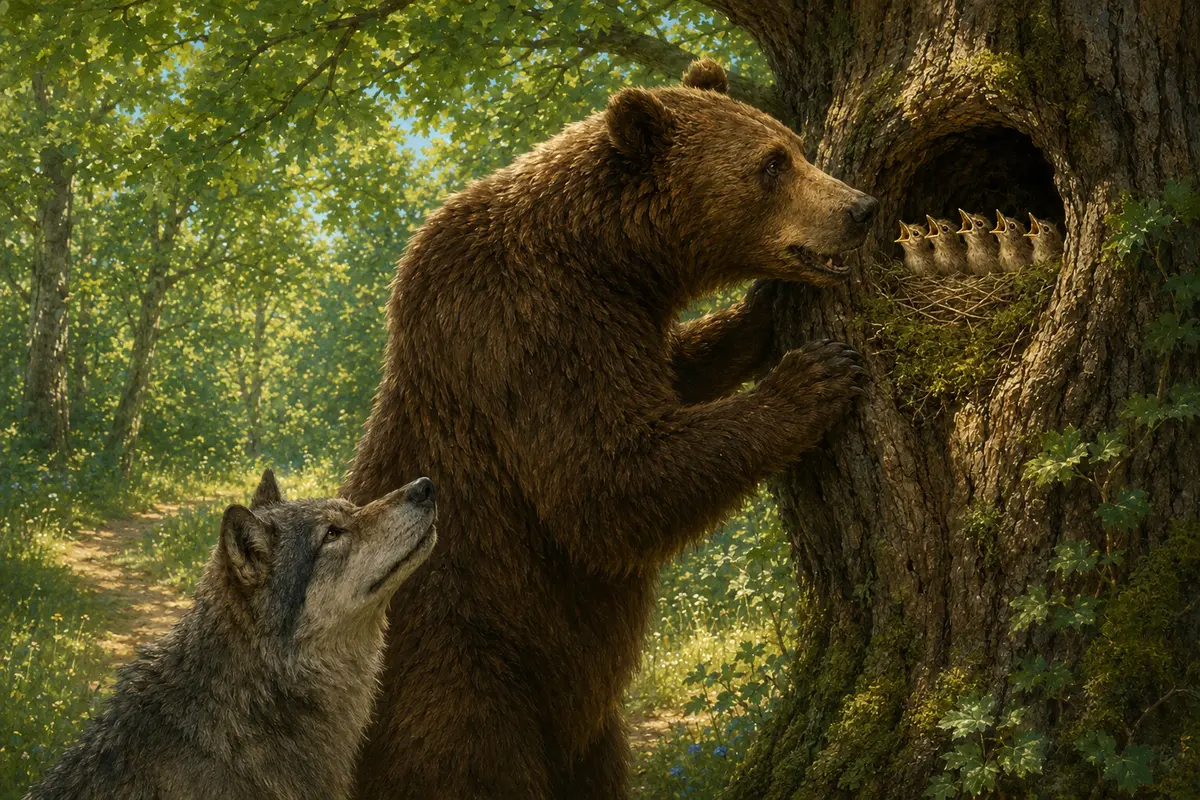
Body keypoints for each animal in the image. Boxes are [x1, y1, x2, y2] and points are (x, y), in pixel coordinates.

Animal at [342, 59, 878, 798]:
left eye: (796, 146)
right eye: (771, 164)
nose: (860, 208)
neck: (605, 259)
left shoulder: (621, 327)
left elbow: (671, 377)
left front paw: (758, 312)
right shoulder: (527, 333)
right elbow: (603, 486)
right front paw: (812, 377)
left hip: (584, 722)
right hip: (462, 664)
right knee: (471, 761)